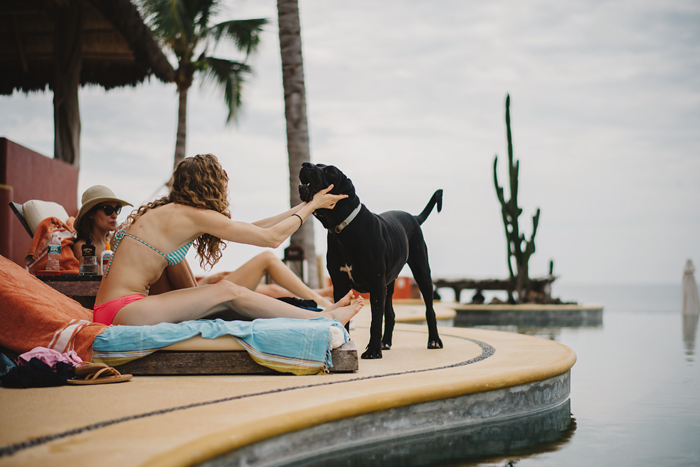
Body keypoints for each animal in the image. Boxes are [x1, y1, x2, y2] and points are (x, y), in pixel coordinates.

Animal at [300, 163, 442, 360]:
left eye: (329, 171)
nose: (304, 164)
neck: (344, 229)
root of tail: (414, 217)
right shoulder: (340, 284)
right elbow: (345, 314)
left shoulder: (376, 284)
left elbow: (375, 321)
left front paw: (373, 350)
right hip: (389, 285)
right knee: (390, 314)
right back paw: (386, 342)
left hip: (421, 272)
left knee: (430, 309)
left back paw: (434, 340)